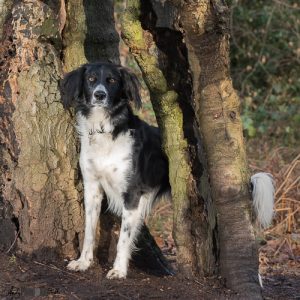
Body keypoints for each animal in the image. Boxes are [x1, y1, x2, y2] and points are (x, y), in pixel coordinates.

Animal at [59, 62, 276, 280]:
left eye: (111, 80)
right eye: (91, 79)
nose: (99, 95)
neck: (106, 130)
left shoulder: (132, 194)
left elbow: (124, 237)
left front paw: (119, 269)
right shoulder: (92, 188)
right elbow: (89, 230)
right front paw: (83, 262)